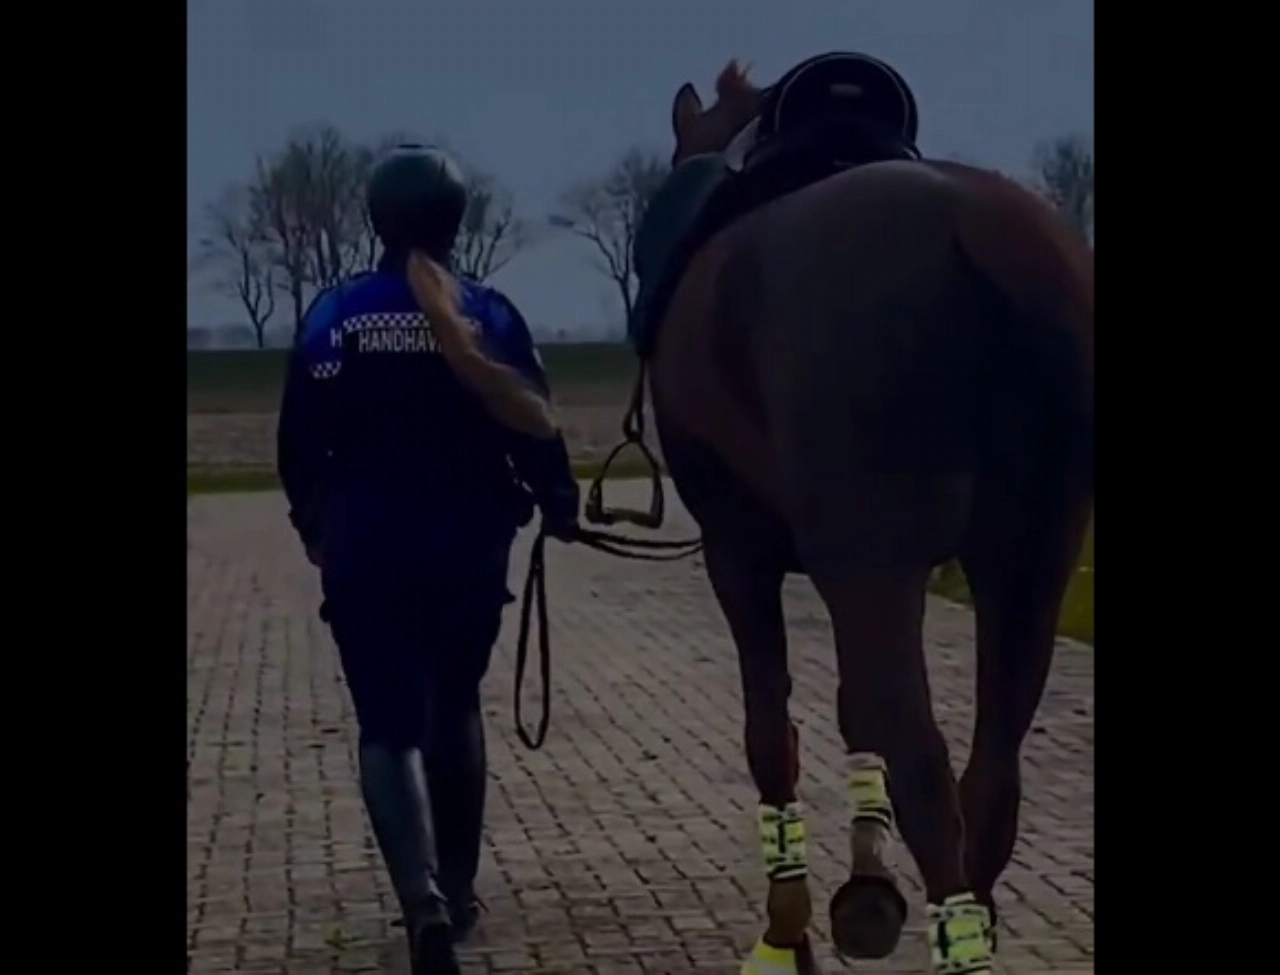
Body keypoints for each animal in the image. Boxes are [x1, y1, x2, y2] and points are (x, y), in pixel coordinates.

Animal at [627, 55, 1093, 974]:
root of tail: (982, 231)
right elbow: (850, 712)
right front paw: (866, 892)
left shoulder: (742, 556)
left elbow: (772, 731)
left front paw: (787, 928)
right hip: (1028, 566)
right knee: (991, 777)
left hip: (876, 567)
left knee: (926, 767)